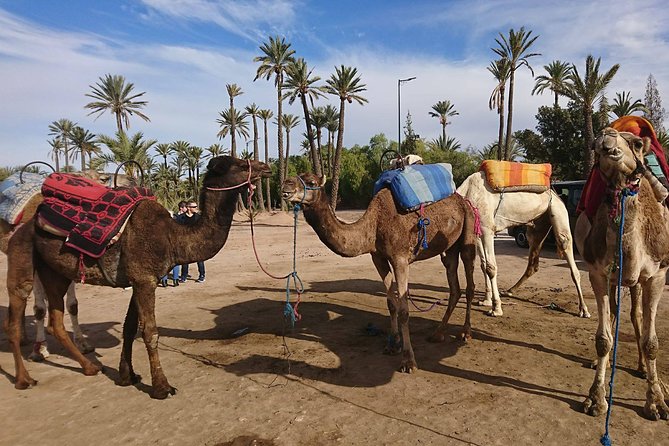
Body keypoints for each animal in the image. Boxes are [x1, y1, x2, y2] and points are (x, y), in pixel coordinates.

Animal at [4, 156, 271, 399]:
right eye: (242, 164)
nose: (266, 167)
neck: (173, 237)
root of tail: (28, 221)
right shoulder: (144, 280)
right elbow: (150, 332)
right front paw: (162, 387)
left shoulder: (138, 280)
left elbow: (129, 328)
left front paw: (126, 376)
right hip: (22, 255)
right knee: (16, 315)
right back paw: (24, 379)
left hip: (55, 273)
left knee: (56, 321)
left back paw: (90, 367)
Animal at [281, 173, 477, 373]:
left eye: (311, 182)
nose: (285, 186)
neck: (374, 226)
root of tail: (464, 201)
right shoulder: (378, 258)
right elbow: (391, 303)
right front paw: (393, 345)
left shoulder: (400, 259)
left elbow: (404, 310)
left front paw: (408, 361)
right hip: (449, 247)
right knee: (454, 286)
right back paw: (437, 334)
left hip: (468, 231)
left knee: (469, 283)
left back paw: (465, 332)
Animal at [457, 171, 590, 318]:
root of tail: (556, 194)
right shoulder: (478, 231)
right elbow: (483, 265)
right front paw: (486, 301)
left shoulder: (487, 229)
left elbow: (491, 267)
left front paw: (496, 308)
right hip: (537, 227)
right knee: (533, 263)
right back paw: (509, 290)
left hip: (558, 211)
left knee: (566, 247)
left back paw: (584, 310)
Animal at [575, 128, 669, 420]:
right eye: (595, 145)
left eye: (637, 143)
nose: (608, 141)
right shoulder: (598, 273)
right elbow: (603, 338)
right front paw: (596, 398)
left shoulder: (657, 275)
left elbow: (651, 342)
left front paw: (657, 402)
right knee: (617, 312)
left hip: (638, 280)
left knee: (636, 315)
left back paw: (644, 369)